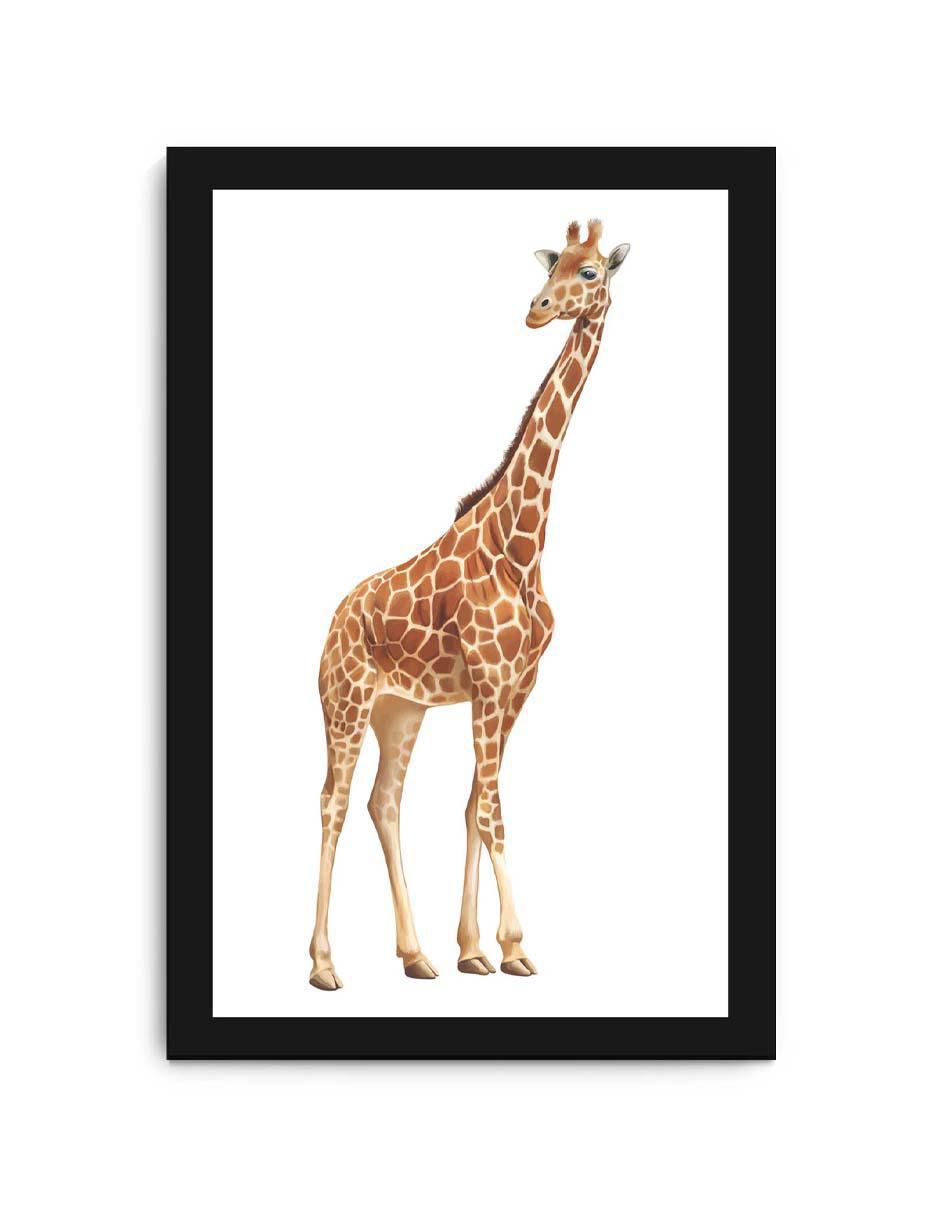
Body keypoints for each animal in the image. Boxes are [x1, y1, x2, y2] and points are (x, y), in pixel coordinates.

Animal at [309, 218, 630, 989]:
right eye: (555, 266)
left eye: (590, 273)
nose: (536, 310)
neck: (523, 546)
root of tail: (332, 622)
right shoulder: (487, 679)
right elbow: (492, 810)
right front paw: (514, 943)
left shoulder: (518, 685)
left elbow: (473, 806)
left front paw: (476, 948)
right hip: (345, 702)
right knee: (334, 802)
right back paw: (324, 965)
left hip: (401, 710)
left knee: (383, 802)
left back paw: (416, 954)